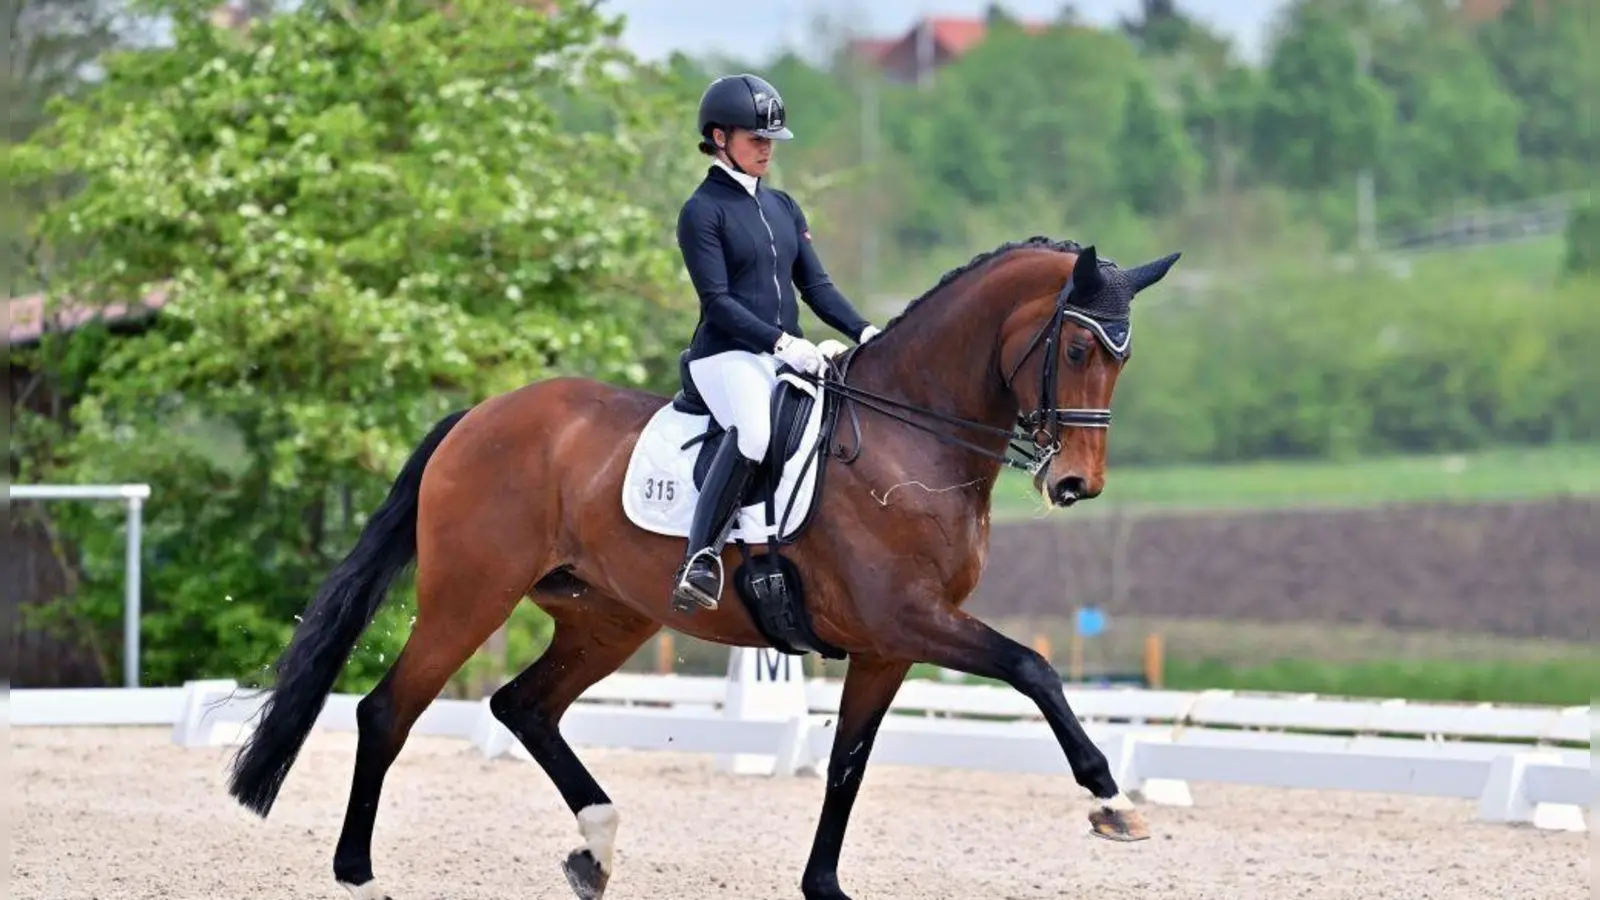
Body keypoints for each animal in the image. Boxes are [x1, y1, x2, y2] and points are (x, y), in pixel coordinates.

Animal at [222, 235, 1177, 890]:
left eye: (1126, 358)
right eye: (1079, 350)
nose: (1076, 483)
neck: (912, 439)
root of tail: (479, 416)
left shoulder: (888, 646)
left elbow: (847, 765)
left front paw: (822, 885)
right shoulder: (910, 620)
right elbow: (1034, 668)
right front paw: (1112, 802)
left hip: (607, 618)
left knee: (523, 707)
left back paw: (596, 849)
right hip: (471, 597)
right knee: (388, 711)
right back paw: (356, 872)